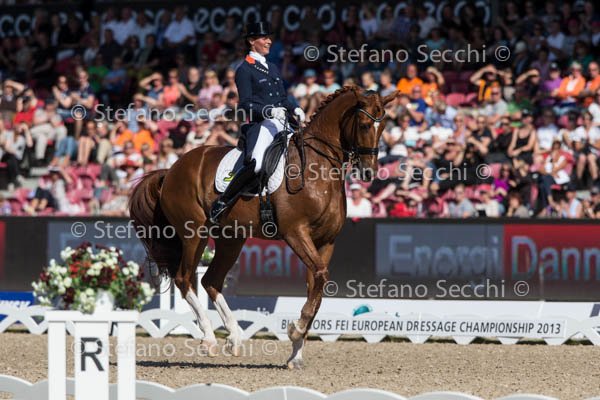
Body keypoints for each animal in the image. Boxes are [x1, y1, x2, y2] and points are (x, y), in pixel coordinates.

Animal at [129, 85, 397, 369]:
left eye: (383, 126)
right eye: (365, 124)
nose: (369, 172)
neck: (319, 169)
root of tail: (171, 169)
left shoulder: (325, 242)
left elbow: (317, 285)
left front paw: (296, 353)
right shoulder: (295, 233)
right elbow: (320, 277)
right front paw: (295, 330)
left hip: (231, 238)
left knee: (211, 280)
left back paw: (235, 338)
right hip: (194, 233)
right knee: (184, 279)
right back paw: (210, 340)